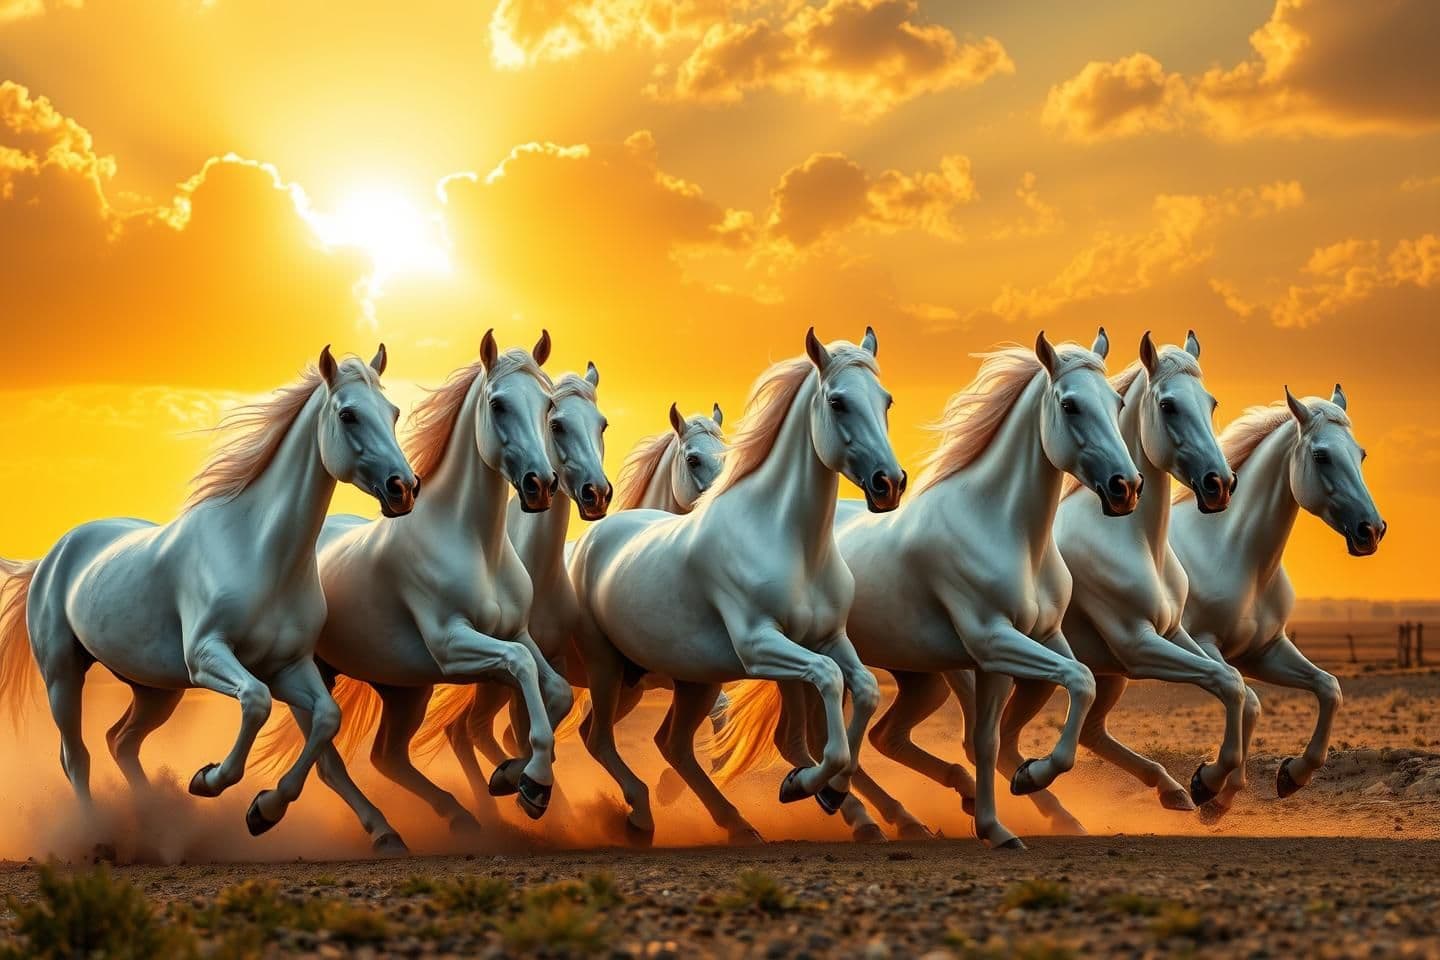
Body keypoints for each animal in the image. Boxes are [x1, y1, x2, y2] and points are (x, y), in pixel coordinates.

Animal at [0, 347, 417, 844]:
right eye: (348, 414)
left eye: (393, 412)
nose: (403, 488)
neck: (258, 552)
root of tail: (51, 557)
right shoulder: (207, 656)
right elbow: (255, 702)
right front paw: (208, 780)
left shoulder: (289, 666)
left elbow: (326, 718)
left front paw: (264, 811)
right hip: (62, 675)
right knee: (76, 756)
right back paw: (97, 837)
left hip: (155, 689)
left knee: (121, 742)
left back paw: (159, 825)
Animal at [254, 331, 572, 843]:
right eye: (498, 404)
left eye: (547, 406)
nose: (540, 485)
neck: (473, 543)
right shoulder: (453, 645)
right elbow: (521, 667)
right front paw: (533, 785)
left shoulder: (515, 633)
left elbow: (556, 690)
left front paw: (511, 776)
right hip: (308, 674)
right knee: (331, 762)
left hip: (404, 689)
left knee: (387, 756)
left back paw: (457, 816)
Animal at [568, 328, 905, 844]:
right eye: (838, 401)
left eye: (885, 400)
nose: (890, 483)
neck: (787, 539)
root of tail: (592, 539)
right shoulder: (760, 645)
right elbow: (827, 683)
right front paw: (803, 786)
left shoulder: (827, 638)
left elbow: (863, 689)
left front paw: (830, 792)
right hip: (608, 669)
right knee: (598, 737)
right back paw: (633, 815)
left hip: (686, 680)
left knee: (671, 744)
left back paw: (738, 824)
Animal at [718, 330, 1142, 849]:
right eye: (1070, 405)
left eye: (1117, 402)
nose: (1126, 487)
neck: (1002, 528)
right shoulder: (994, 640)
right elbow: (1078, 682)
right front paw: (1030, 777)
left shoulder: (1025, 644)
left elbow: (992, 735)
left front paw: (998, 824)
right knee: (813, 738)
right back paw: (842, 803)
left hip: (916, 677)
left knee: (871, 736)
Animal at [1170, 384, 1384, 819]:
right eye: (1321, 456)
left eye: (1361, 454)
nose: (1371, 531)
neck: (1231, 551)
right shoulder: (1202, 644)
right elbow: (1246, 700)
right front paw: (1207, 783)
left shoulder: (1263, 651)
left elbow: (1327, 688)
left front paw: (1290, 776)